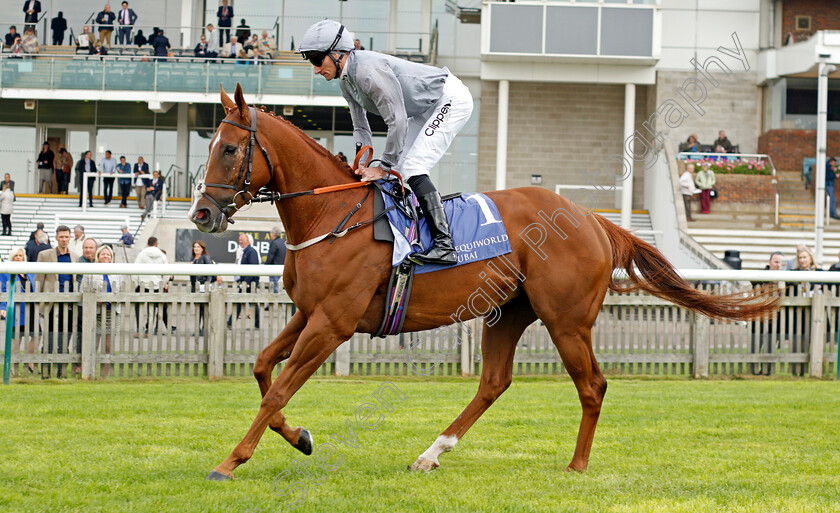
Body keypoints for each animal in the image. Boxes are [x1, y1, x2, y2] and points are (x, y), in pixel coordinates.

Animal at [190, 85, 780, 480]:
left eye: (229, 149)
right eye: (208, 145)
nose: (201, 215)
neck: (332, 214)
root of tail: (594, 220)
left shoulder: (333, 323)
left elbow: (278, 388)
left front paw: (230, 461)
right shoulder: (310, 313)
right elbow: (263, 368)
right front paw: (301, 437)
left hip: (566, 320)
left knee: (592, 385)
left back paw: (577, 465)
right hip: (508, 311)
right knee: (494, 382)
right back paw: (431, 454)